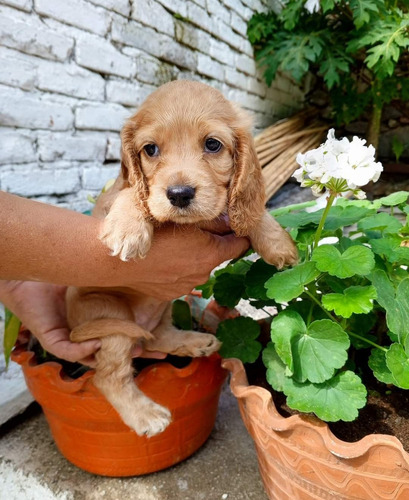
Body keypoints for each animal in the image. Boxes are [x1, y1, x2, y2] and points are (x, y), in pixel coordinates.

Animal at [66, 79, 296, 438]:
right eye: (150, 150)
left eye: (213, 144)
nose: (179, 194)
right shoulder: (114, 196)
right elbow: (130, 191)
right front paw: (127, 226)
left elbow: (251, 209)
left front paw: (278, 243)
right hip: (109, 314)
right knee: (109, 376)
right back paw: (146, 415)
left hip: (161, 306)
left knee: (159, 336)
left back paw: (195, 341)